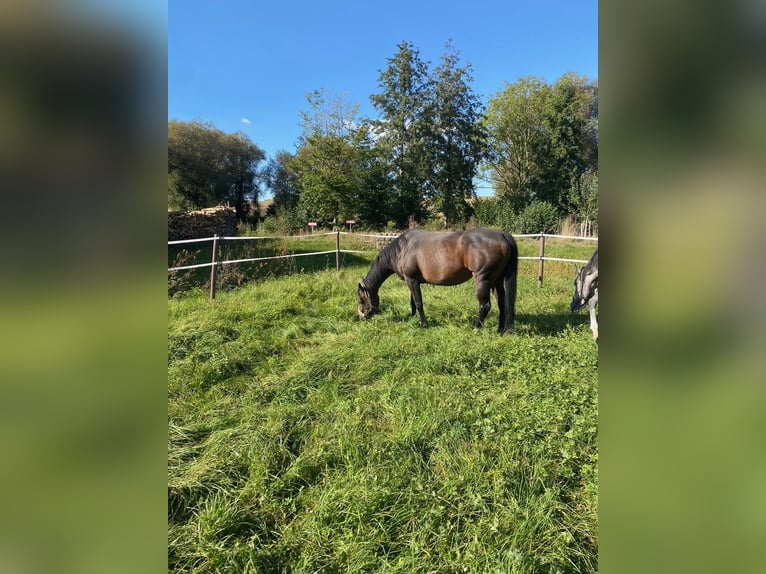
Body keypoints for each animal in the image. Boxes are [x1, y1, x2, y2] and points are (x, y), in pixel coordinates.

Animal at [356, 230, 520, 336]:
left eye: (361, 299)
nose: (362, 318)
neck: (402, 249)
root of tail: (502, 235)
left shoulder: (412, 280)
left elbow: (418, 303)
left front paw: (424, 325)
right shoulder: (412, 281)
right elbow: (412, 302)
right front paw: (412, 317)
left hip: (483, 280)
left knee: (485, 305)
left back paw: (476, 328)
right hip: (496, 281)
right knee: (502, 303)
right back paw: (500, 331)